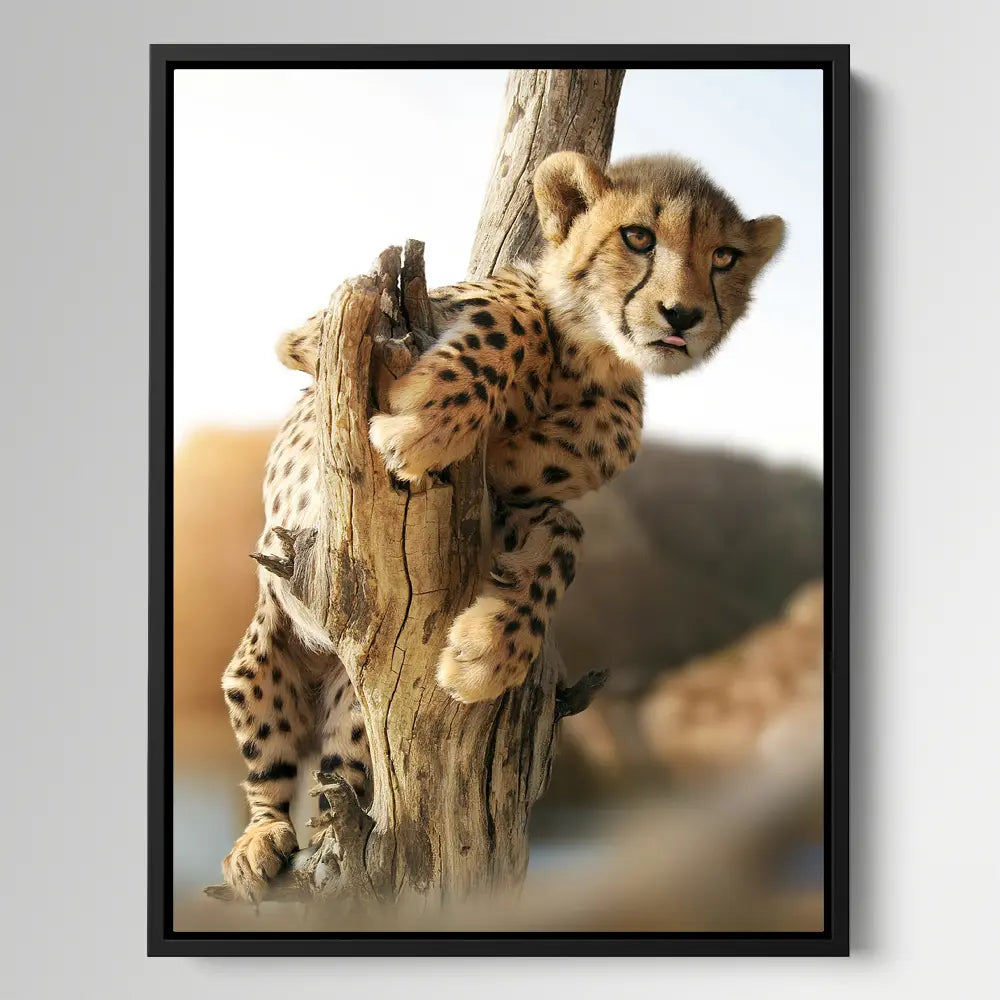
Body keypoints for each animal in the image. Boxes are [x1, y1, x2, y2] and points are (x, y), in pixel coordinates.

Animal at [218, 150, 785, 900]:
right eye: (638, 237)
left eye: (724, 257)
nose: (684, 315)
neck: (587, 354)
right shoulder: (320, 332)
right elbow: (513, 314)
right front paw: (428, 415)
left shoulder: (518, 507)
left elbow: (579, 506)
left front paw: (490, 650)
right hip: (259, 667)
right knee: (270, 777)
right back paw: (257, 844)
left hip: (354, 712)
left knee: (339, 789)